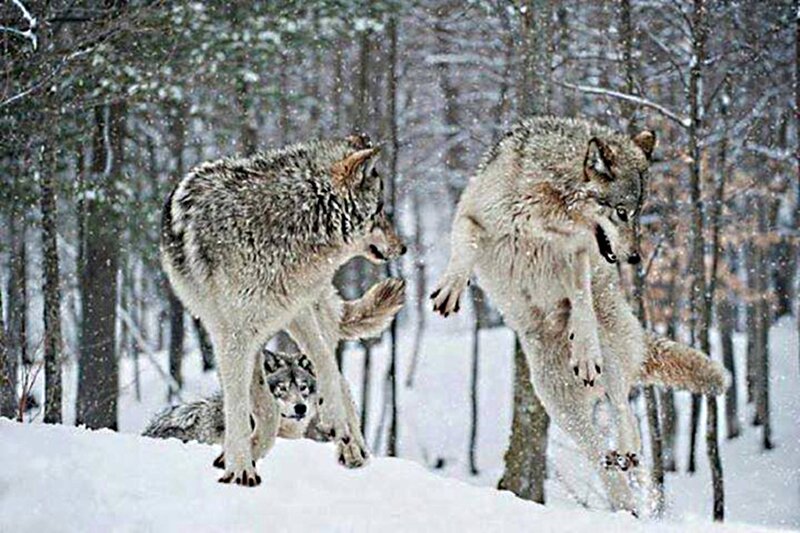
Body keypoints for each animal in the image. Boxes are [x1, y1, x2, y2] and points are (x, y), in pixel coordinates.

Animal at [161, 133, 406, 486]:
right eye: (381, 209)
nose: (404, 247)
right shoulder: (232, 337)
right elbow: (248, 407)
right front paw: (241, 467)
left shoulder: (295, 312)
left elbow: (324, 369)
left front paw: (331, 419)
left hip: (304, 317)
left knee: (337, 374)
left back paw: (351, 446)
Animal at [431, 116, 728, 513]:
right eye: (622, 212)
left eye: (639, 212)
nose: (635, 257)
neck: (545, 209)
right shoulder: (471, 216)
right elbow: (463, 251)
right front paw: (451, 286)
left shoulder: (576, 254)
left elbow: (582, 301)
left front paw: (583, 349)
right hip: (558, 404)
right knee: (599, 452)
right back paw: (622, 490)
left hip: (610, 354)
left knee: (623, 410)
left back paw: (626, 448)